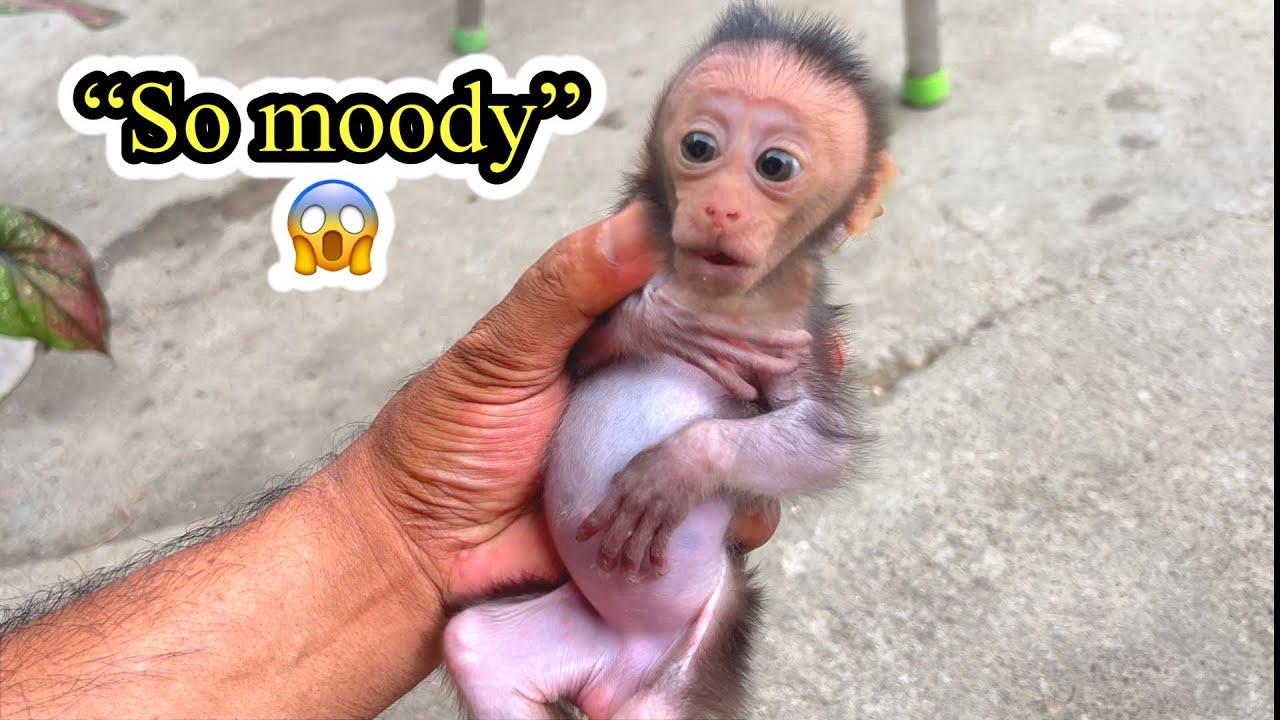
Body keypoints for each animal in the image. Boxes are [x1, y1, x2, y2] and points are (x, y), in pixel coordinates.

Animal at [441, 3, 895, 718]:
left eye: (775, 165)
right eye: (699, 148)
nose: (720, 207)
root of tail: (617, 667)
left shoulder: (803, 324)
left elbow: (822, 442)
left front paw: (673, 471)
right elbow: (573, 354)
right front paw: (667, 324)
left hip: (696, 652)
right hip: (570, 631)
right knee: (474, 646)